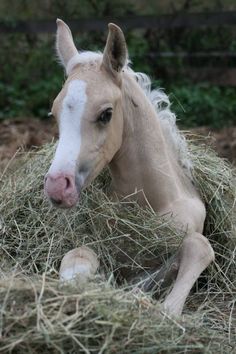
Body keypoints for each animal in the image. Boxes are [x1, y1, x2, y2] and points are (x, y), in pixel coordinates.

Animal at [43, 19, 215, 316]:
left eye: (106, 114)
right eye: (54, 113)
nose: (57, 186)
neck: (157, 201)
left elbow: (196, 248)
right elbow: (80, 254)